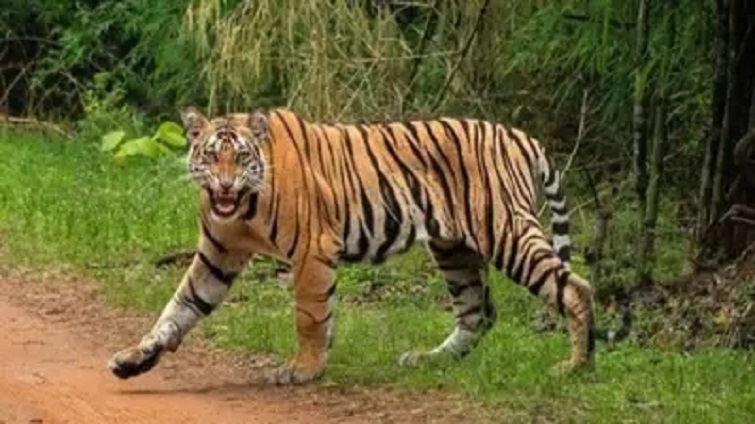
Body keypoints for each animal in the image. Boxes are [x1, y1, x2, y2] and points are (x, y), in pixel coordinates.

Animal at [108, 106, 631, 385]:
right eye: (210, 156)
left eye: (239, 157)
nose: (223, 185)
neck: (243, 211)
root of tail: (522, 136)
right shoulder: (217, 256)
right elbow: (177, 309)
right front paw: (135, 358)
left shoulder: (312, 250)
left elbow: (309, 315)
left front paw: (304, 369)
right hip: (453, 248)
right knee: (477, 312)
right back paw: (429, 360)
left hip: (506, 231)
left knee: (574, 288)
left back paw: (575, 366)